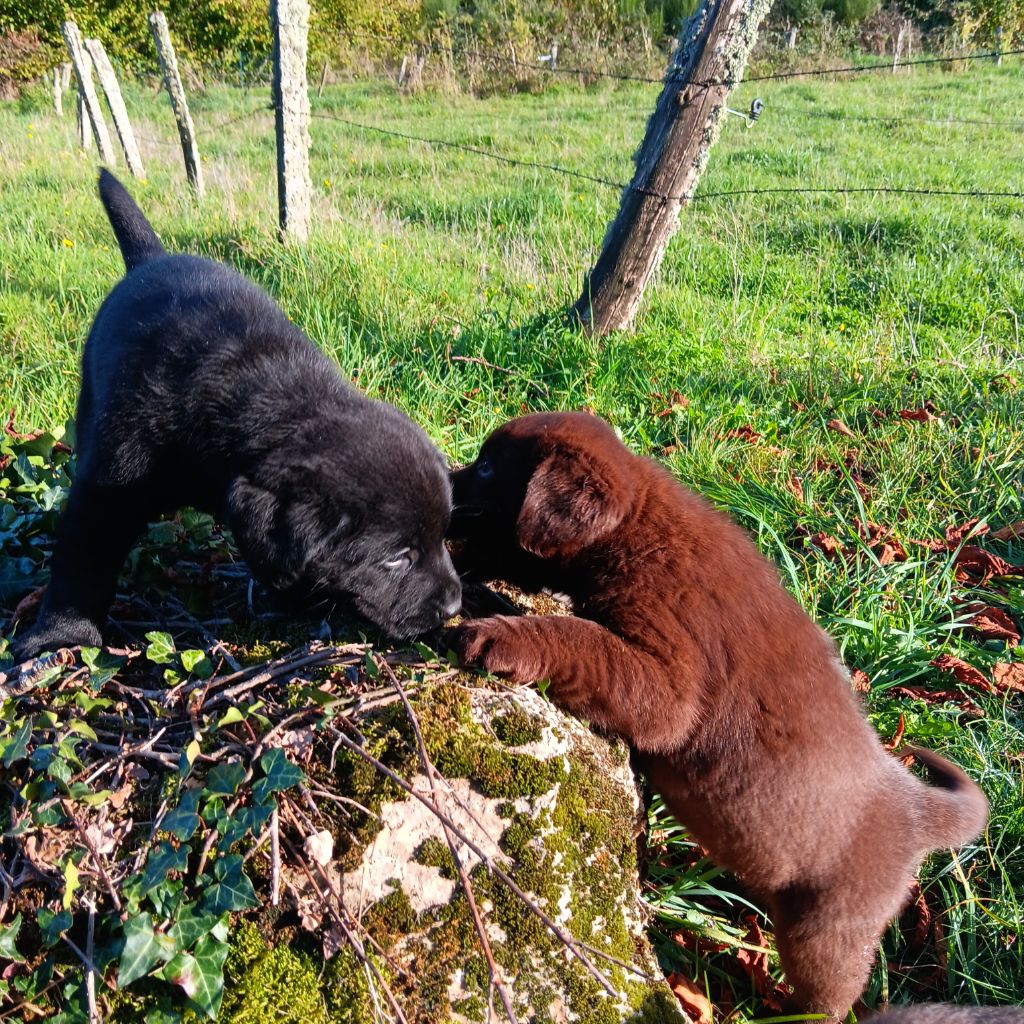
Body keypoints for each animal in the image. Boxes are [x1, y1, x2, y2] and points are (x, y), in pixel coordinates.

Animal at [11, 172, 460, 659]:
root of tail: (153, 258)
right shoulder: (106, 491)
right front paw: (62, 634)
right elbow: (82, 562)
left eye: (442, 536)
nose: (453, 606)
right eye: (396, 556)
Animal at [450, 411, 991, 1019]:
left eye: (487, 467)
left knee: (831, 996)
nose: (442, 480)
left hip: (828, 933)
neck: (634, 525)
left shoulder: (668, 683)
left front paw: (498, 636)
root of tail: (917, 807)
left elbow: (579, 640)